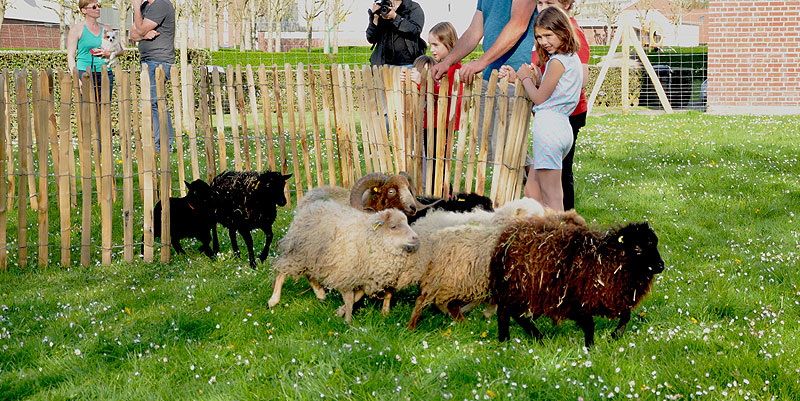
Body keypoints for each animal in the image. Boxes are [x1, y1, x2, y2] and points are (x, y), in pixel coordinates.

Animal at [490, 217, 664, 346]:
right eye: (637, 247)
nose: (661, 266)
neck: (608, 259)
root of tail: (505, 238)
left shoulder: (614, 296)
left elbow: (626, 317)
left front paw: (614, 336)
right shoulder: (577, 302)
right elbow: (589, 325)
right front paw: (590, 347)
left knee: (513, 313)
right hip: (518, 289)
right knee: (508, 312)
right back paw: (513, 338)